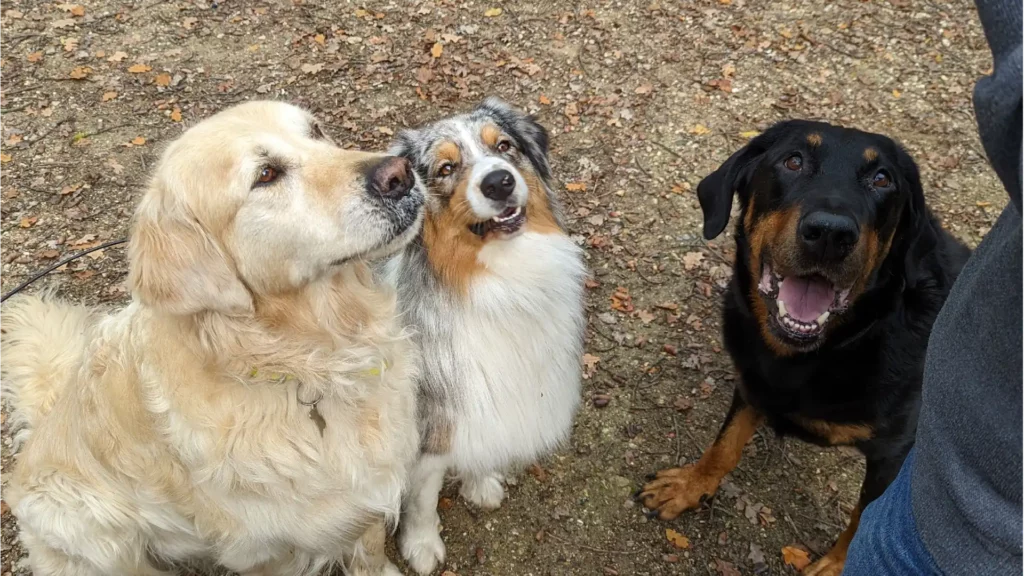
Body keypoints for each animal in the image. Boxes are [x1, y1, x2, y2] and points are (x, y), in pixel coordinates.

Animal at [0, 100, 423, 569]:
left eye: (316, 131)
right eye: (266, 174)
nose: (400, 173)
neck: (313, 362)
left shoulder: (373, 487)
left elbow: (370, 550)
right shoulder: (267, 552)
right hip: (91, 531)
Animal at [380, 97, 585, 569]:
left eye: (504, 146)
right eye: (445, 168)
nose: (498, 182)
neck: (498, 281)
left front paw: (480, 482)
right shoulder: (434, 426)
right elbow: (423, 500)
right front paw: (421, 546)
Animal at [638, 120, 966, 573]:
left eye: (882, 179)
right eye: (793, 161)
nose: (830, 234)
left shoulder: (895, 453)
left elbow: (864, 516)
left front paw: (837, 564)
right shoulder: (752, 383)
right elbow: (724, 445)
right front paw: (690, 485)